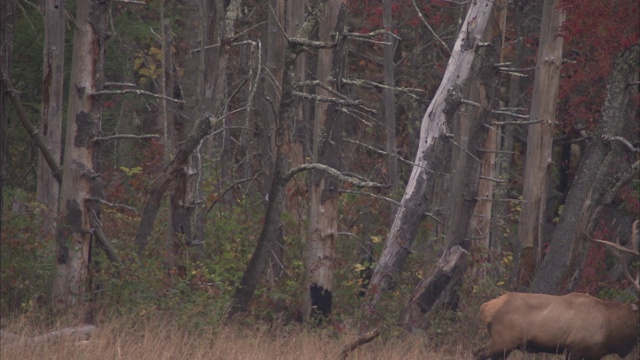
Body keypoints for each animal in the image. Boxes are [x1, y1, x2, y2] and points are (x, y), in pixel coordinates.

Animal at [472, 221, 636, 358]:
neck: (611, 330)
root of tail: (485, 307)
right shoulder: (577, 348)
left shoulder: (595, 354)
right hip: (503, 339)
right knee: (477, 353)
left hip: (505, 345)